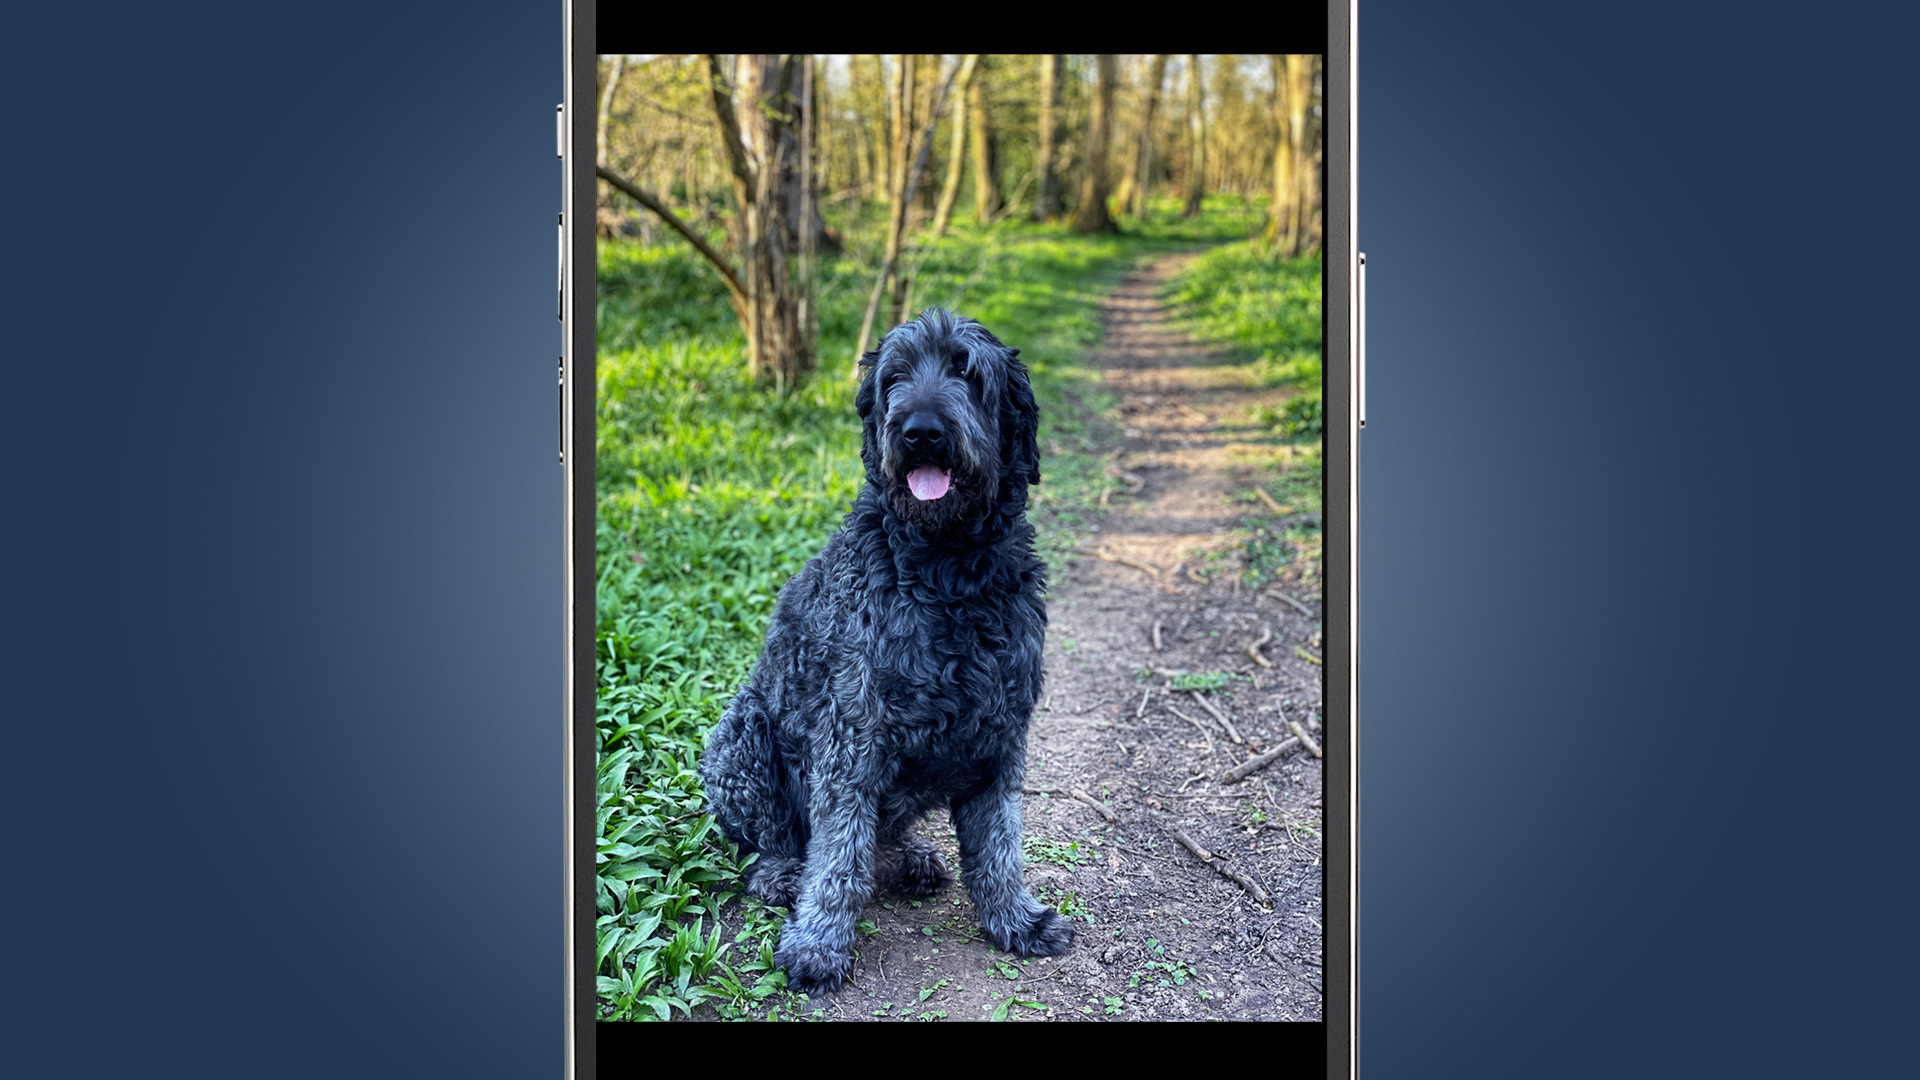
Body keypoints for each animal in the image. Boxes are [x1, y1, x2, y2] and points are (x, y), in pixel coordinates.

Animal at [698, 307, 1075, 991]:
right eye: (895, 377)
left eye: (965, 371)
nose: (921, 432)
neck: (948, 569)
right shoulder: (853, 730)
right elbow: (838, 849)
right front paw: (819, 944)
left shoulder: (1001, 730)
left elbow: (1000, 843)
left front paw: (1016, 919)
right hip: (744, 735)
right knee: (782, 840)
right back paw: (783, 874)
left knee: (880, 842)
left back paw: (907, 859)